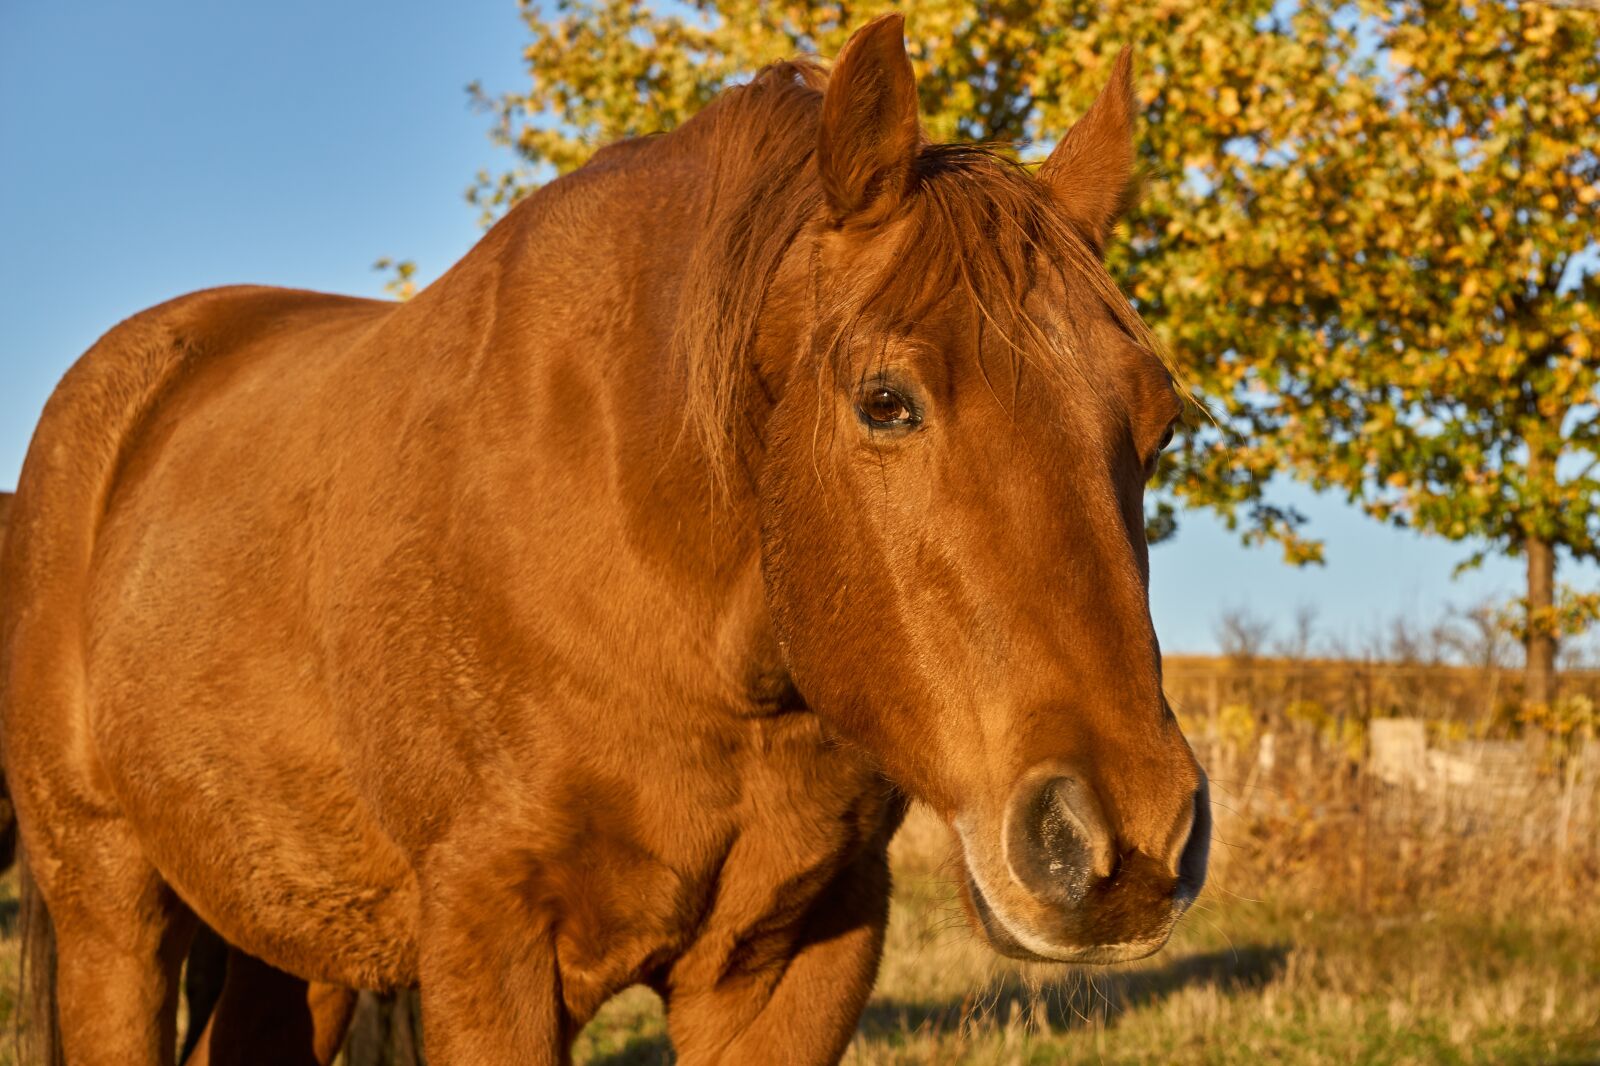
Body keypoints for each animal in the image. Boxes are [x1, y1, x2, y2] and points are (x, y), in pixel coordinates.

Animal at [0, 16, 1203, 1062]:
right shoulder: (490, 945)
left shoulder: (795, 963)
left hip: (291, 935)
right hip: (109, 901)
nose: (1128, 839)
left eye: (1156, 420)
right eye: (886, 402)